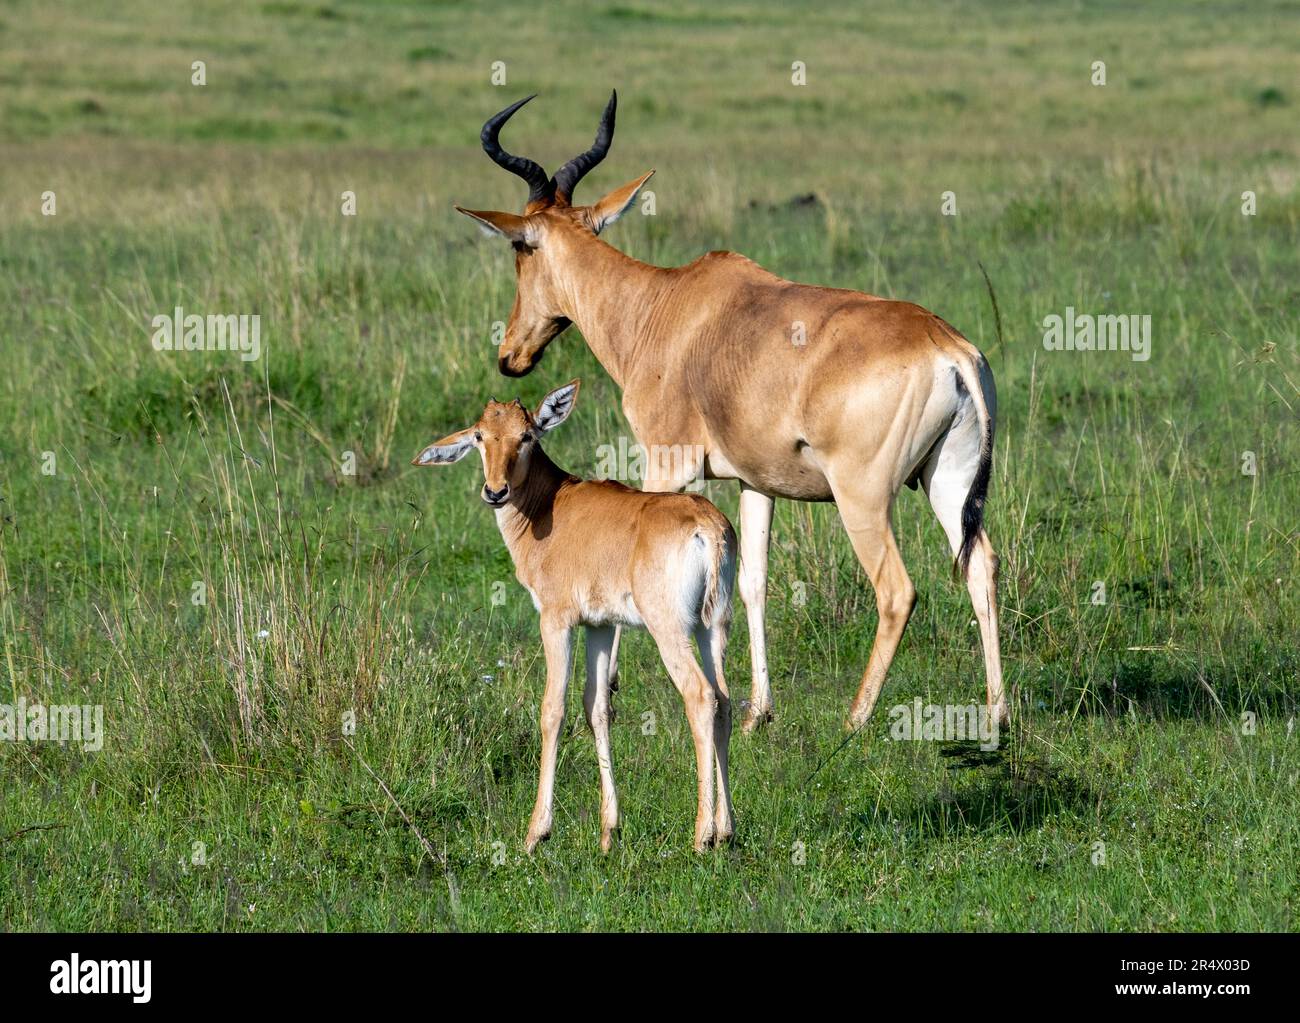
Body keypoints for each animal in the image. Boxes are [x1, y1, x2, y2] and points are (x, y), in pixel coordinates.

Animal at [416, 379, 743, 852]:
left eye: (526, 435)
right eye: (480, 435)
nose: (495, 492)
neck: (555, 503)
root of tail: (709, 527)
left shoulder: (556, 621)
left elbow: (553, 709)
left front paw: (536, 833)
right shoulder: (600, 626)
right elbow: (597, 708)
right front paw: (609, 831)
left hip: (669, 629)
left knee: (700, 697)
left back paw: (702, 836)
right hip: (712, 626)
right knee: (724, 701)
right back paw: (726, 829)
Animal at [452, 94, 1008, 738]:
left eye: (520, 249)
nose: (510, 357)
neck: (666, 306)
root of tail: (949, 347)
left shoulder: (667, 463)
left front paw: (610, 688)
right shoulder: (755, 481)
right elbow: (752, 583)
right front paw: (756, 712)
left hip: (862, 495)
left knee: (897, 590)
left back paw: (854, 720)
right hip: (946, 479)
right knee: (980, 565)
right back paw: (997, 713)